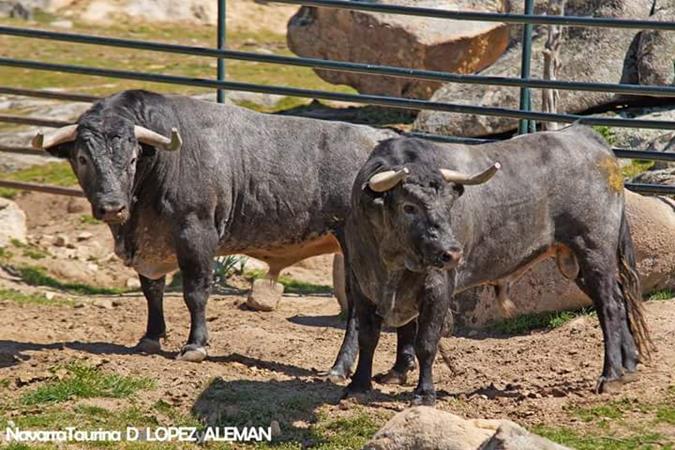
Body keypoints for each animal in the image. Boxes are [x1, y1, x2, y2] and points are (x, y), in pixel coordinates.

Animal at [33, 88, 396, 376]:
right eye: (82, 158)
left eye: (133, 158)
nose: (111, 206)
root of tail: (380, 140)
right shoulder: (151, 245)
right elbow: (152, 290)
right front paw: (151, 336)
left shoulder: (196, 233)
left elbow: (194, 292)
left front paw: (195, 345)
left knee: (357, 310)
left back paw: (338, 368)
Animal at [346, 125, 652, 406]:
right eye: (408, 206)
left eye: (449, 205)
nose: (452, 253)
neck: (391, 262)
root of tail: (585, 135)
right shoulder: (361, 285)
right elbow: (368, 336)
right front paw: (358, 384)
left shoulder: (438, 288)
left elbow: (426, 343)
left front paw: (424, 394)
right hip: (578, 262)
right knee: (616, 301)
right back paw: (628, 367)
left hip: (594, 251)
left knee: (610, 305)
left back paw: (611, 375)